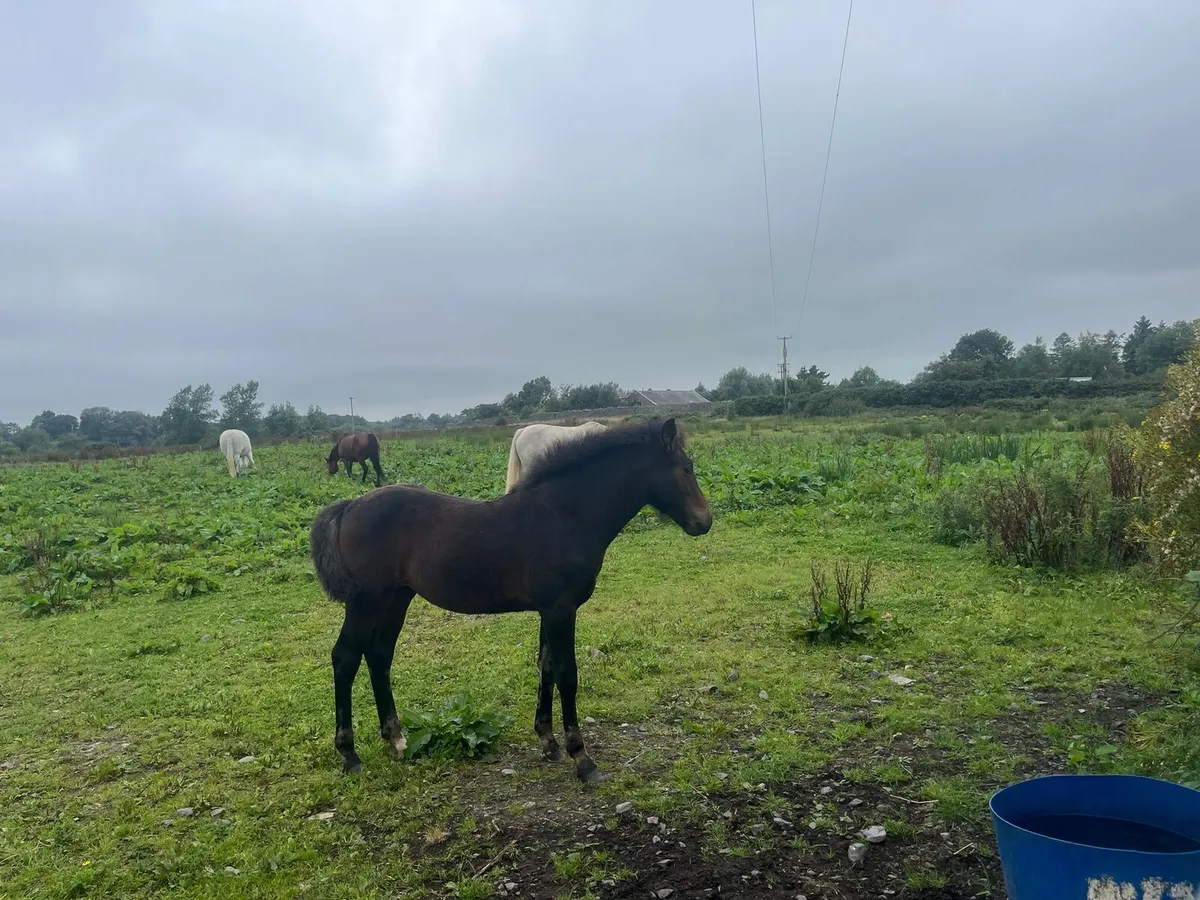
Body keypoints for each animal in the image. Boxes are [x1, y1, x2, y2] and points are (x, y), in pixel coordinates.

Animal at [308, 417, 712, 783]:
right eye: (687, 467)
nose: (704, 521)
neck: (565, 514)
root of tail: (349, 507)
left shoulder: (549, 609)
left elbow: (545, 666)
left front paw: (548, 742)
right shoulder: (561, 608)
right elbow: (567, 674)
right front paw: (582, 758)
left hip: (396, 599)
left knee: (378, 656)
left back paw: (395, 739)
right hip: (365, 602)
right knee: (345, 657)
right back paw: (349, 755)